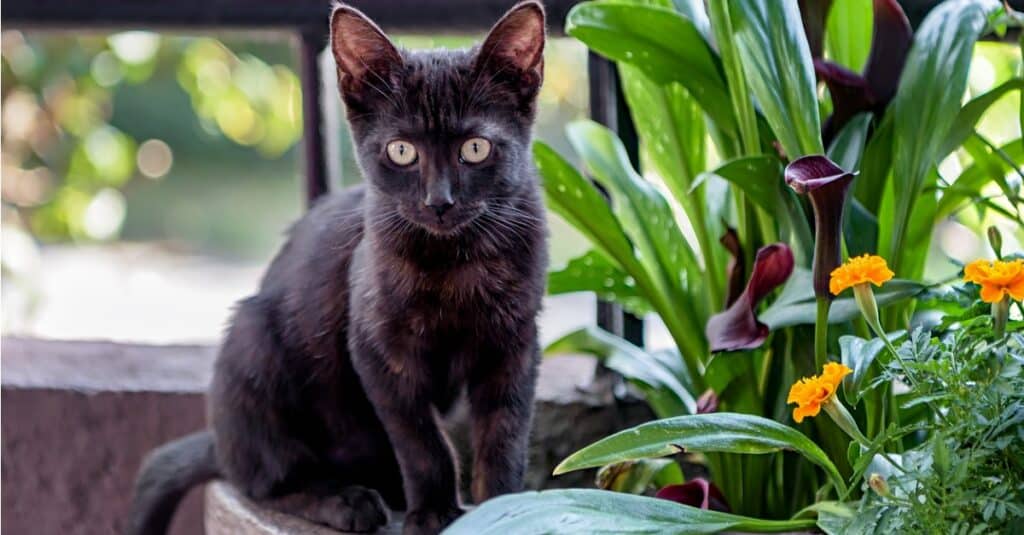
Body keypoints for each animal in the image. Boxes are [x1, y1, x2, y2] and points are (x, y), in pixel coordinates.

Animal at [131, 4, 548, 532]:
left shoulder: (515, 345)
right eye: (402, 151)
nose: (439, 202)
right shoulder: (378, 351)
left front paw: (504, 510)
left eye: (475, 148)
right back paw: (347, 501)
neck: (456, 263)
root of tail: (222, 444)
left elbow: (504, 436)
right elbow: (421, 441)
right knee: (267, 480)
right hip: (253, 344)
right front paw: (434, 512)